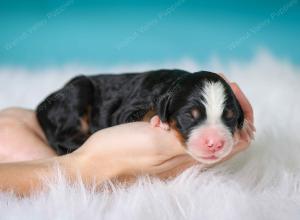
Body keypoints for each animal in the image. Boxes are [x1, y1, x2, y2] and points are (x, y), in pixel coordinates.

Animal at [37, 69, 244, 164]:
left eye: (230, 116)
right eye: (189, 116)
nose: (215, 143)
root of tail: (41, 106)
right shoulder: (126, 110)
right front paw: (157, 118)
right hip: (79, 90)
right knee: (63, 135)